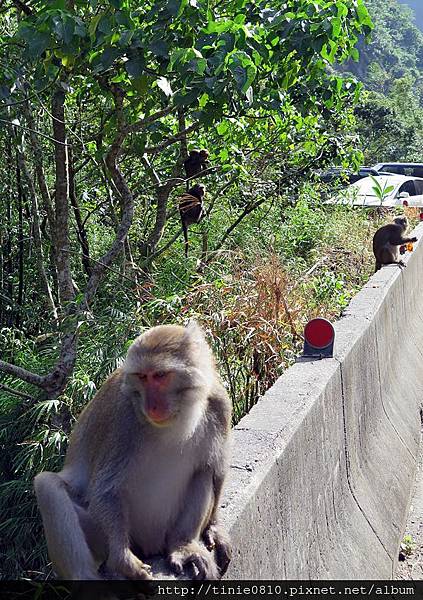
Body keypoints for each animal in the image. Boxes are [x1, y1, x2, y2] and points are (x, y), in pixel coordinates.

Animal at [33, 324, 232, 580]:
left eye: (160, 375)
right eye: (142, 377)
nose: (151, 406)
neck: (179, 415)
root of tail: (151, 546)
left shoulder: (219, 405)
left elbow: (215, 471)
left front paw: (214, 528)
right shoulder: (123, 418)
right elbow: (106, 489)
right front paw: (122, 560)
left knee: (203, 474)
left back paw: (182, 545)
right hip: (106, 535)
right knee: (47, 485)